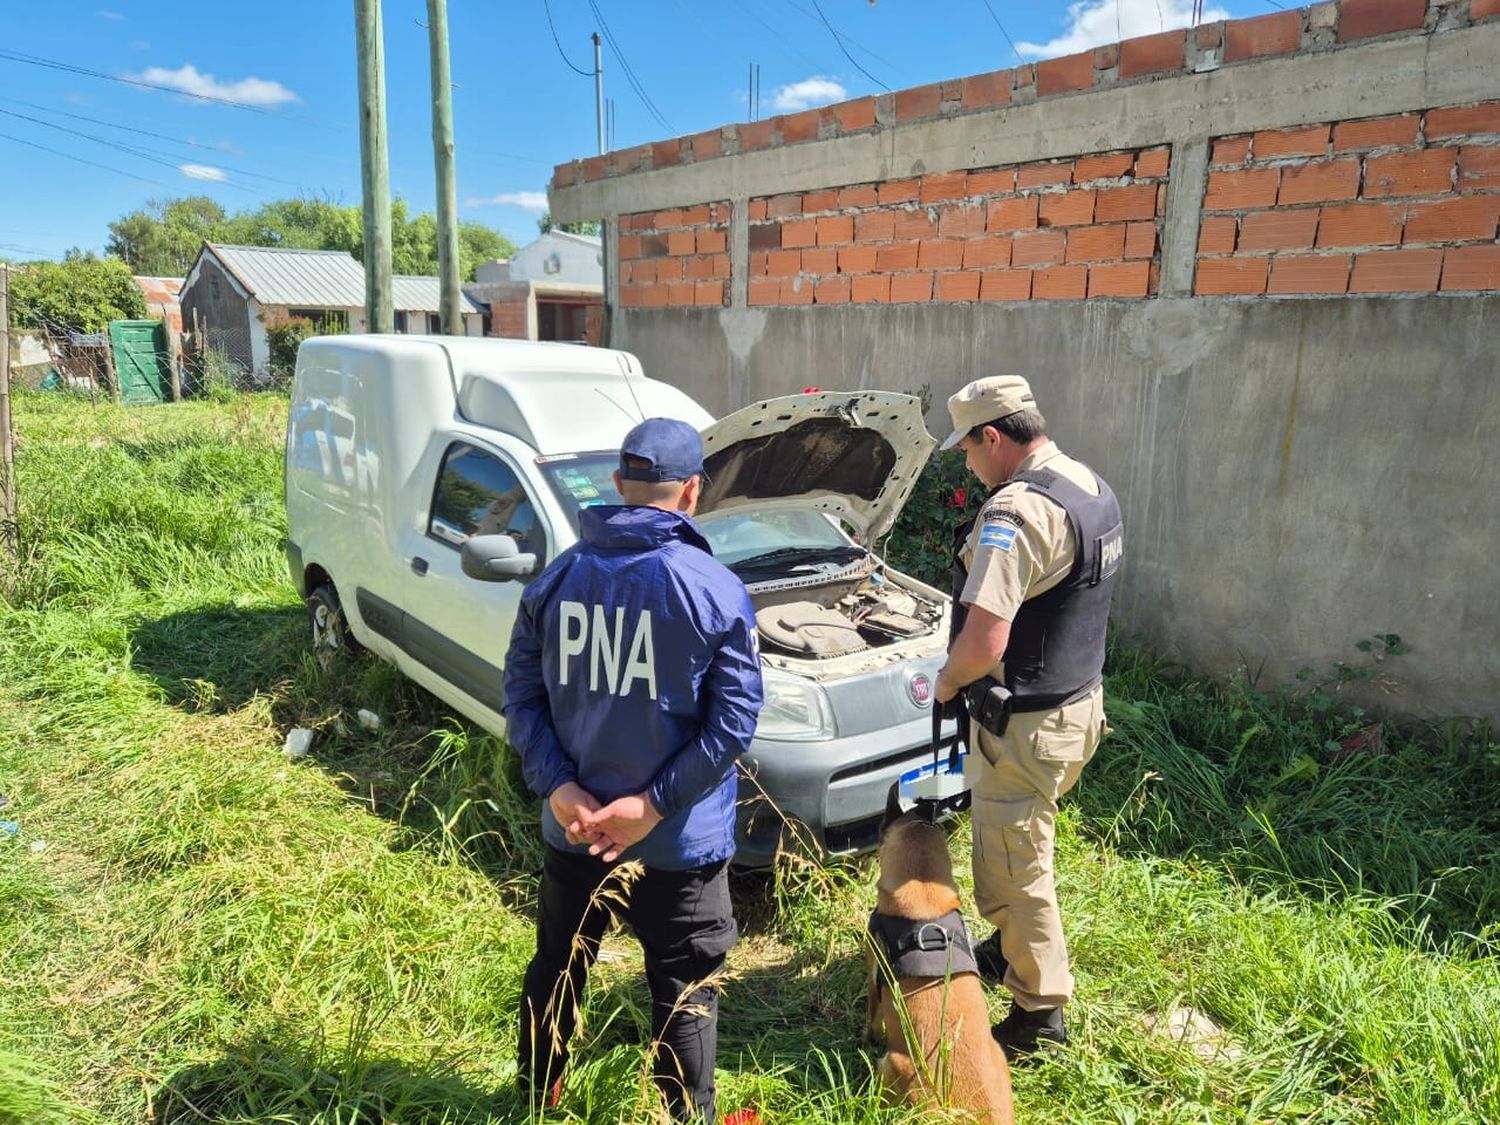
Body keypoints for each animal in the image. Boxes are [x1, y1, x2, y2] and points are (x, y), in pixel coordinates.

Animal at [864, 804, 1014, 1122]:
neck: (925, 905)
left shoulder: (873, 977)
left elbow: (872, 1019)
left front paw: (867, 1039)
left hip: (892, 1065)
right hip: (998, 1052)